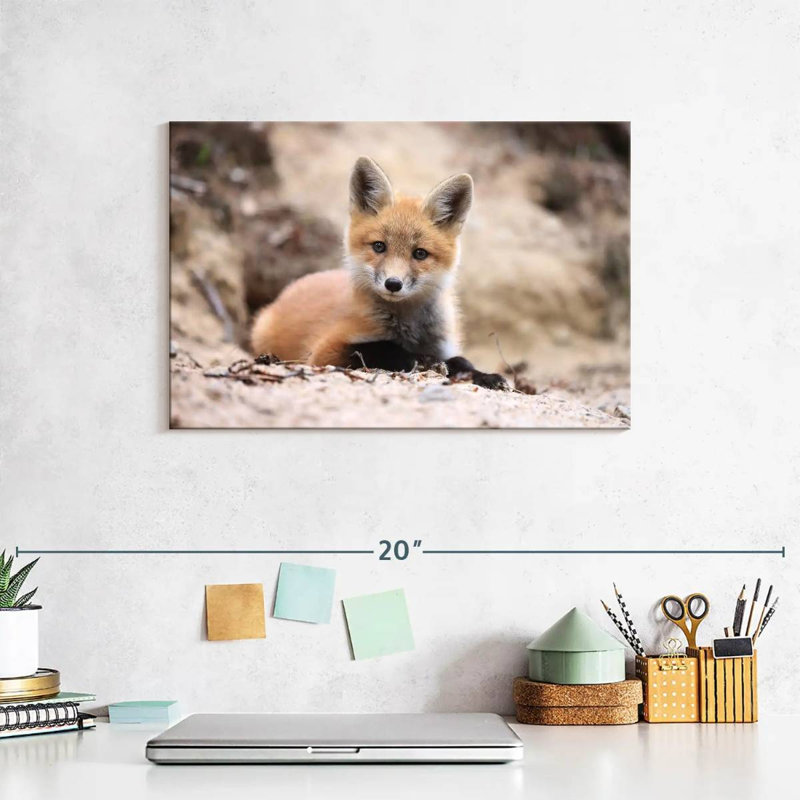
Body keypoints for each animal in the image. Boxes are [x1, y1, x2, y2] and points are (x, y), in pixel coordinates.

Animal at [250, 156, 508, 390]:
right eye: (379, 246)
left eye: (420, 253)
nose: (393, 284)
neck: (409, 329)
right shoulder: (324, 352)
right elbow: (383, 348)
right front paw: (423, 360)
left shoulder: (444, 346)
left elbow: (463, 361)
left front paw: (486, 376)